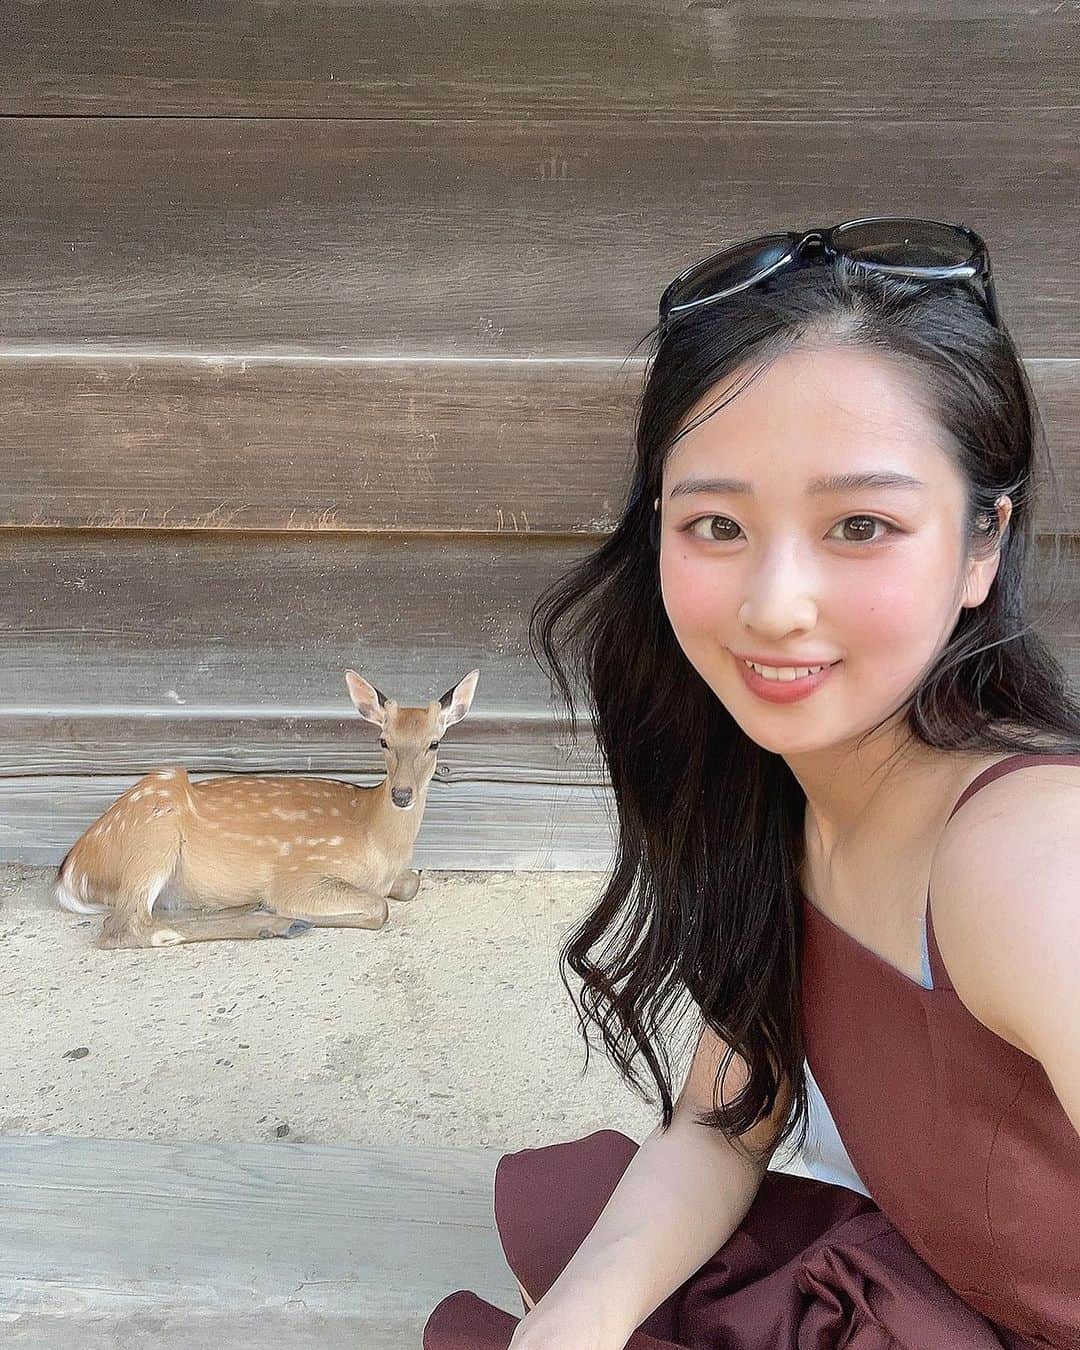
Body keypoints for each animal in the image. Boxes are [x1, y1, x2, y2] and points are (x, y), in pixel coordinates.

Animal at [53, 669, 479, 950]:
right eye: (383, 740)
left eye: (434, 743)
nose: (402, 794)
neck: (374, 835)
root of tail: (71, 872)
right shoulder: (300, 872)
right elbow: (379, 908)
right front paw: (294, 912)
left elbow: (410, 883)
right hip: (153, 835)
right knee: (126, 927)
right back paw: (276, 922)